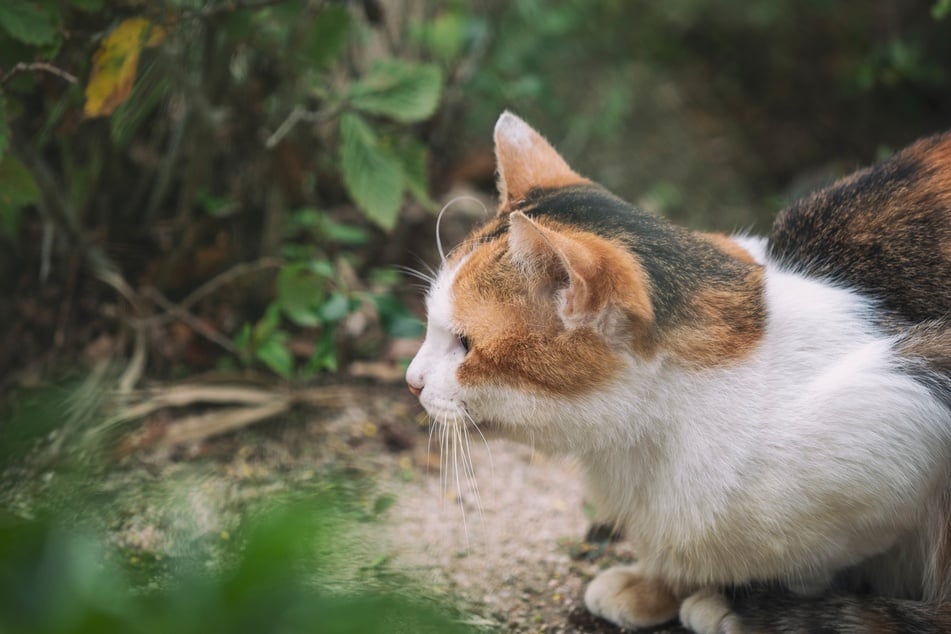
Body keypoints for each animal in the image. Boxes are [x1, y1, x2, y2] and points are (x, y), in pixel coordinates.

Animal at [406, 113, 951, 632]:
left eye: (464, 344)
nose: (412, 380)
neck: (642, 444)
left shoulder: (905, 413)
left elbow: (816, 561)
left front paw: (748, 602)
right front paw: (659, 584)